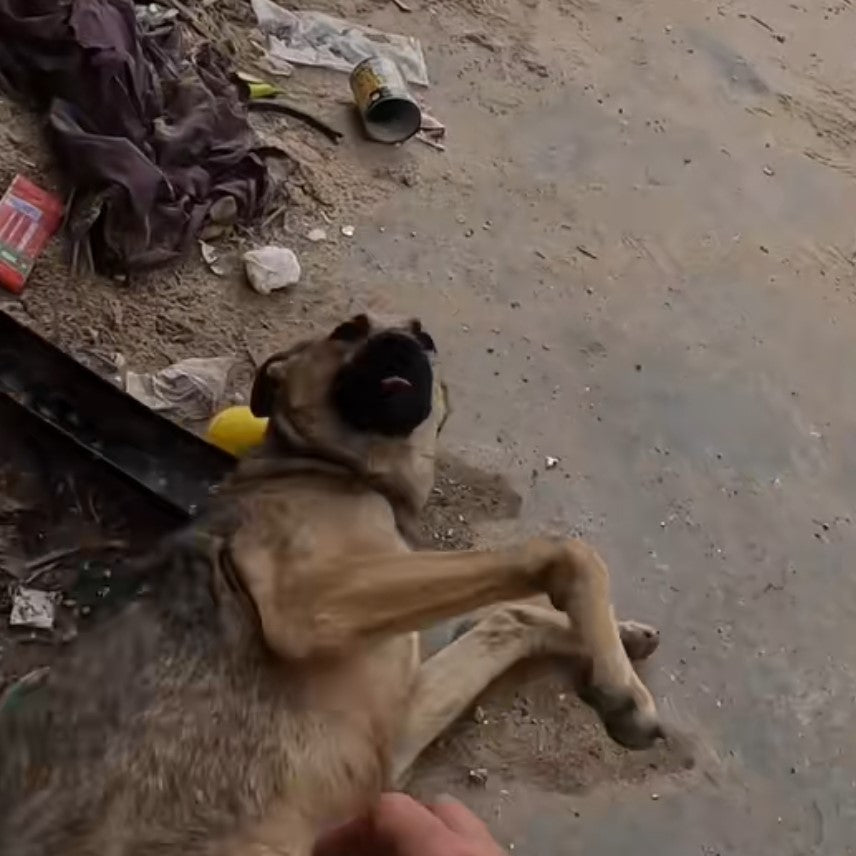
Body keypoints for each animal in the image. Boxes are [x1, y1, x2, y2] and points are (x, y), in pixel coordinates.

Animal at [0, 314, 664, 856]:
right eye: (349, 329)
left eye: (427, 338)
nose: (404, 343)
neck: (339, 472)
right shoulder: (305, 603)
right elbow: (564, 552)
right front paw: (621, 686)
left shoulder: (387, 740)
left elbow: (507, 618)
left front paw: (619, 646)